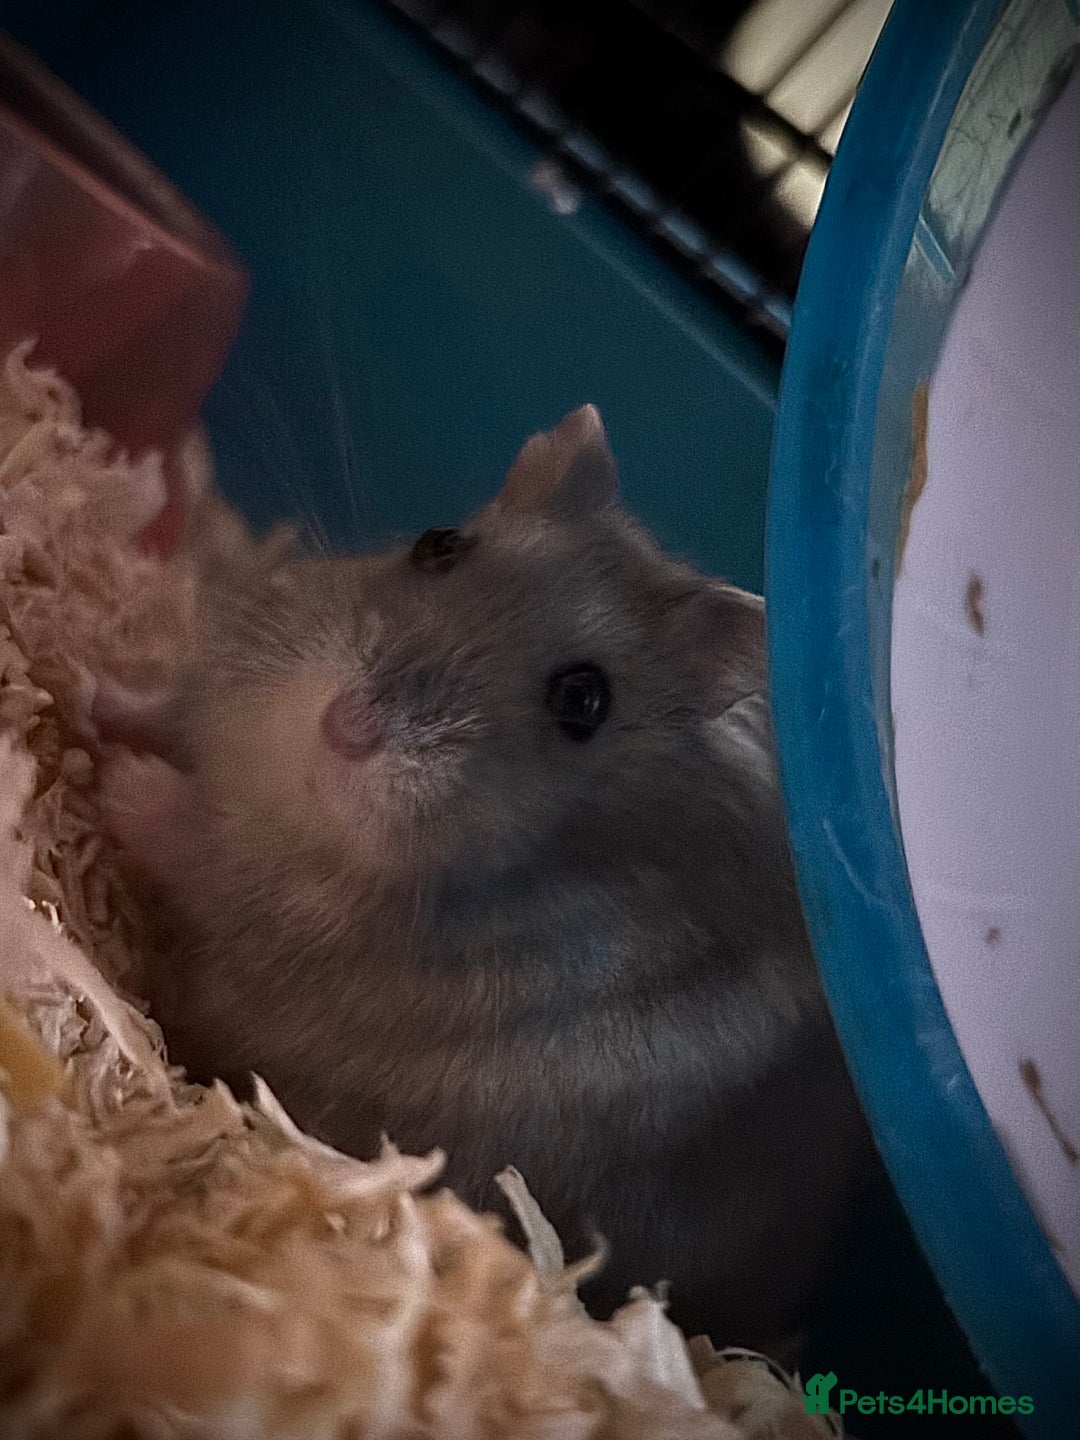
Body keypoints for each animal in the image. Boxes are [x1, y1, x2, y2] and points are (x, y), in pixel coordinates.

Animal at [96, 405, 871, 1360]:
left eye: (584, 700)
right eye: (439, 543)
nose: (345, 727)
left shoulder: (271, 902)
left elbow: (184, 840)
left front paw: (116, 777)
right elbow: (167, 706)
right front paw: (90, 688)